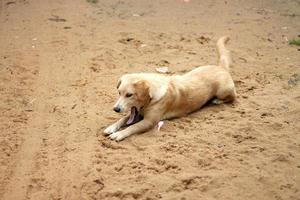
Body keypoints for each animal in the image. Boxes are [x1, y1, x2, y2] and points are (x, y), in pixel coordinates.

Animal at [104, 36, 236, 141]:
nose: (115, 109)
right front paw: (111, 127)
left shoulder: (149, 121)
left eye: (129, 95)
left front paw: (119, 134)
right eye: (119, 93)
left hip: (223, 90)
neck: (150, 99)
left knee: (233, 97)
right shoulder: (137, 114)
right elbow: (123, 119)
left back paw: (217, 100)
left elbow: (132, 126)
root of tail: (221, 67)